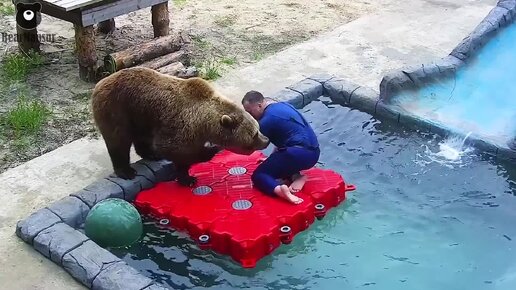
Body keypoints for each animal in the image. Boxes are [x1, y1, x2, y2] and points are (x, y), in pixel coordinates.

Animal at [91, 67, 270, 187]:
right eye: (255, 134)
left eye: (258, 128)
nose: (266, 140)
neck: (204, 124)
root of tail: (100, 83)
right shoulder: (181, 125)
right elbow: (175, 149)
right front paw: (199, 164)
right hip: (117, 109)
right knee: (118, 140)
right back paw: (126, 171)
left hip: (140, 115)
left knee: (142, 137)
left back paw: (151, 154)